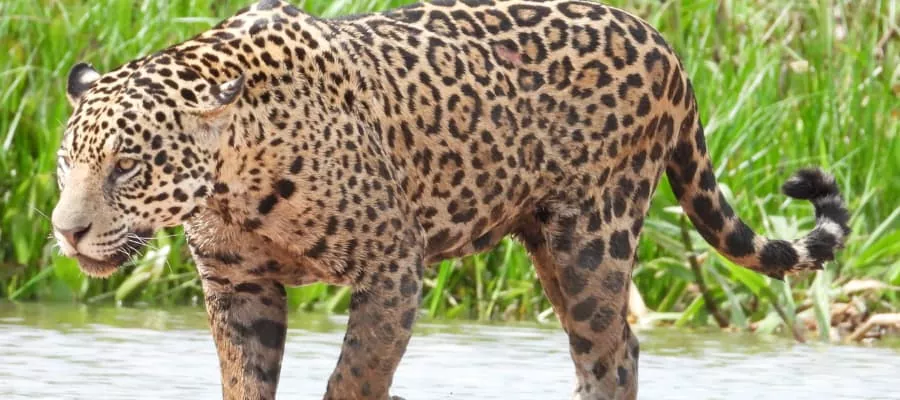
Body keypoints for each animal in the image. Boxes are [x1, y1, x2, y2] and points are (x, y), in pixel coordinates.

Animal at [51, 0, 851, 399]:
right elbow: (245, 384)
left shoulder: (392, 269)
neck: (236, 182)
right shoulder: (236, 285)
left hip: (593, 241)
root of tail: (661, 39)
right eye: (66, 165)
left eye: (127, 167)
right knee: (610, 346)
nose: (65, 232)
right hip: (548, 244)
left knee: (611, 350)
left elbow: (355, 378)